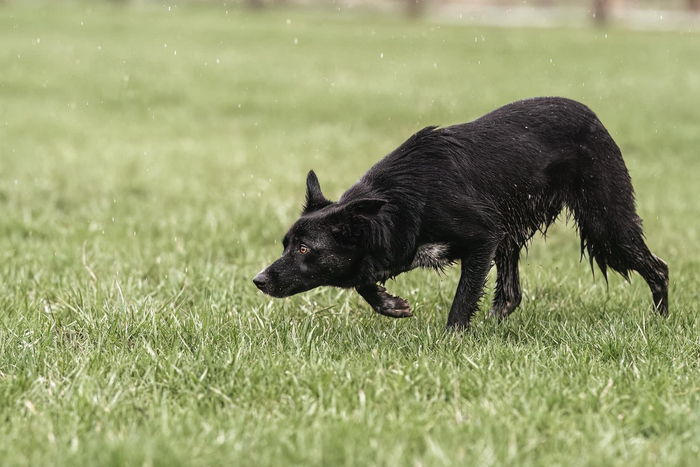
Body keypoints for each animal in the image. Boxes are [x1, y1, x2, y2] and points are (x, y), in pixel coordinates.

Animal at [254, 96, 668, 330]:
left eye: (304, 250)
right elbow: (363, 280)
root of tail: (594, 116)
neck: (400, 200)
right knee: (510, 296)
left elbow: (463, 298)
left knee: (659, 268)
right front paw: (391, 305)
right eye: (285, 244)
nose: (258, 280)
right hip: (517, 232)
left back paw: (661, 323)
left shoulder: (483, 236)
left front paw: (452, 340)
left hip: (605, 224)